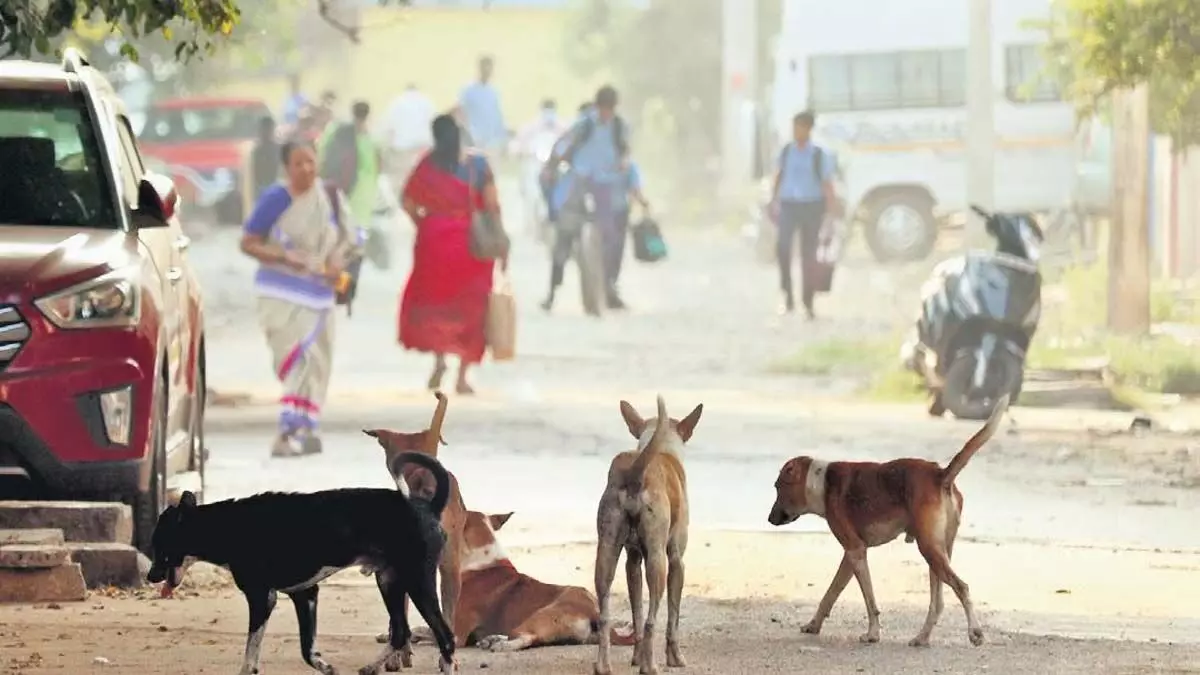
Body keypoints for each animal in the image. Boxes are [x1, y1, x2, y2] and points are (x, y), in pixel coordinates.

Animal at [141, 451, 458, 672]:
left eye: (160, 546)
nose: (150, 577)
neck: (227, 526)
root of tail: (428, 506)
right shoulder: (305, 594)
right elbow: (306, 649)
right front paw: (324, 666)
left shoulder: (262, 598)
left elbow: (251, 652)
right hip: (389, 581)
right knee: (401, 633)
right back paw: (370, 667)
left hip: (417, 582)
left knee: (445, 637)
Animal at [592, 393, 700, 672]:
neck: (662, 449)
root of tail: (635, 471)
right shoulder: (676, 560)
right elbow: (673, 618)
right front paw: (675, 658)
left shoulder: (632, 560)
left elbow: (636, 614)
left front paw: (636, 656)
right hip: (657, 561)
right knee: (652, 619)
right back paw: (650, 666)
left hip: (606, 554)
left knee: (606, 615)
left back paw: (604, 666)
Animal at [763, 393, 1008, 648]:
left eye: (778, 487)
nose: (769, 519)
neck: (822, 483)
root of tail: (940, 475)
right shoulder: (851, 556)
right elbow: (831, 593)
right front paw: (814, 625)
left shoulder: (856, 551)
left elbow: (870, 602)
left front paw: (872, 634)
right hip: (939, 552)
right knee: (938, 603)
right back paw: (922, 637)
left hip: (929, 549)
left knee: (962, 587)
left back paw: (975, 632)